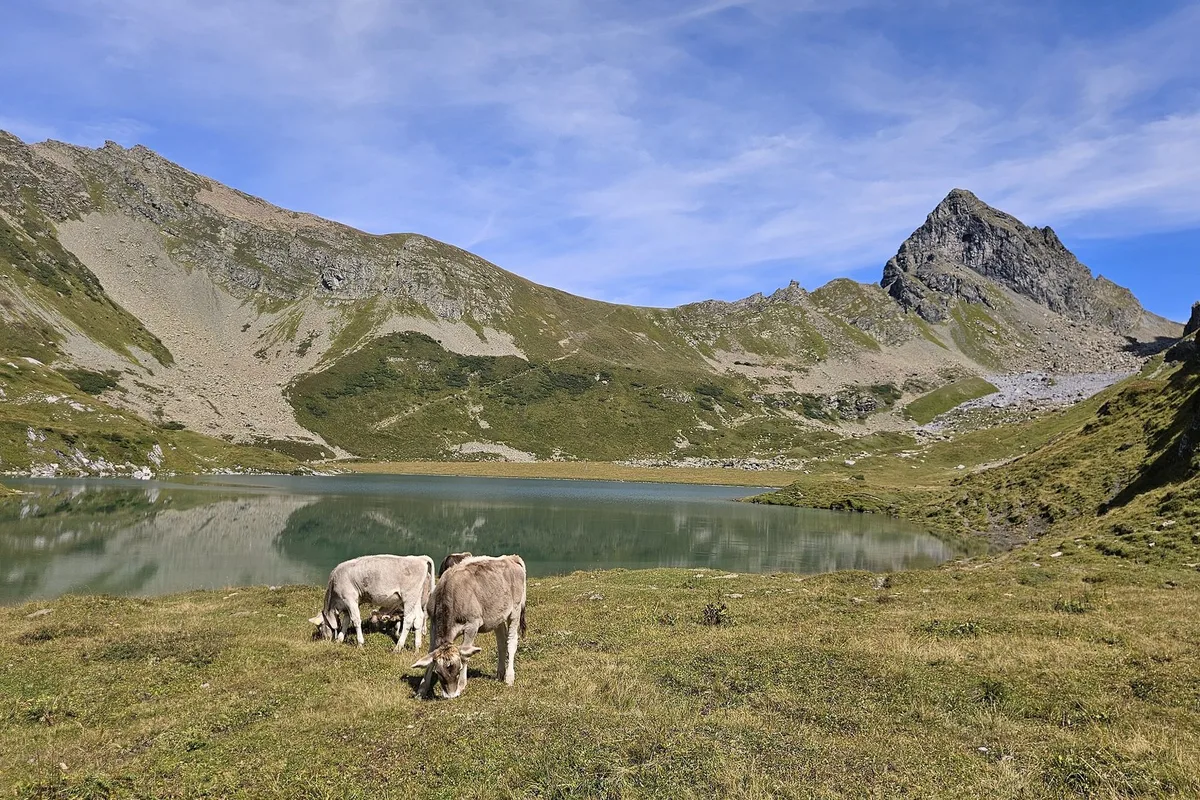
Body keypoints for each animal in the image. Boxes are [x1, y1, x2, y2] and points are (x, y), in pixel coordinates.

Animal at [412, 554, 527, 699]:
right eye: (438, 673)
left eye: (459, 669)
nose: (451, 696)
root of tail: (510, 558)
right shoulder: (433, 624)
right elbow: (431, 652)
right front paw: (422, 689)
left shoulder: (472, 625)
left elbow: (465, 655)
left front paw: (461, 684)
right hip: (497, 616)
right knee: (502, 642)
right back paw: (500, 674)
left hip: (515, 610)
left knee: (511, 642)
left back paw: (509, 677)